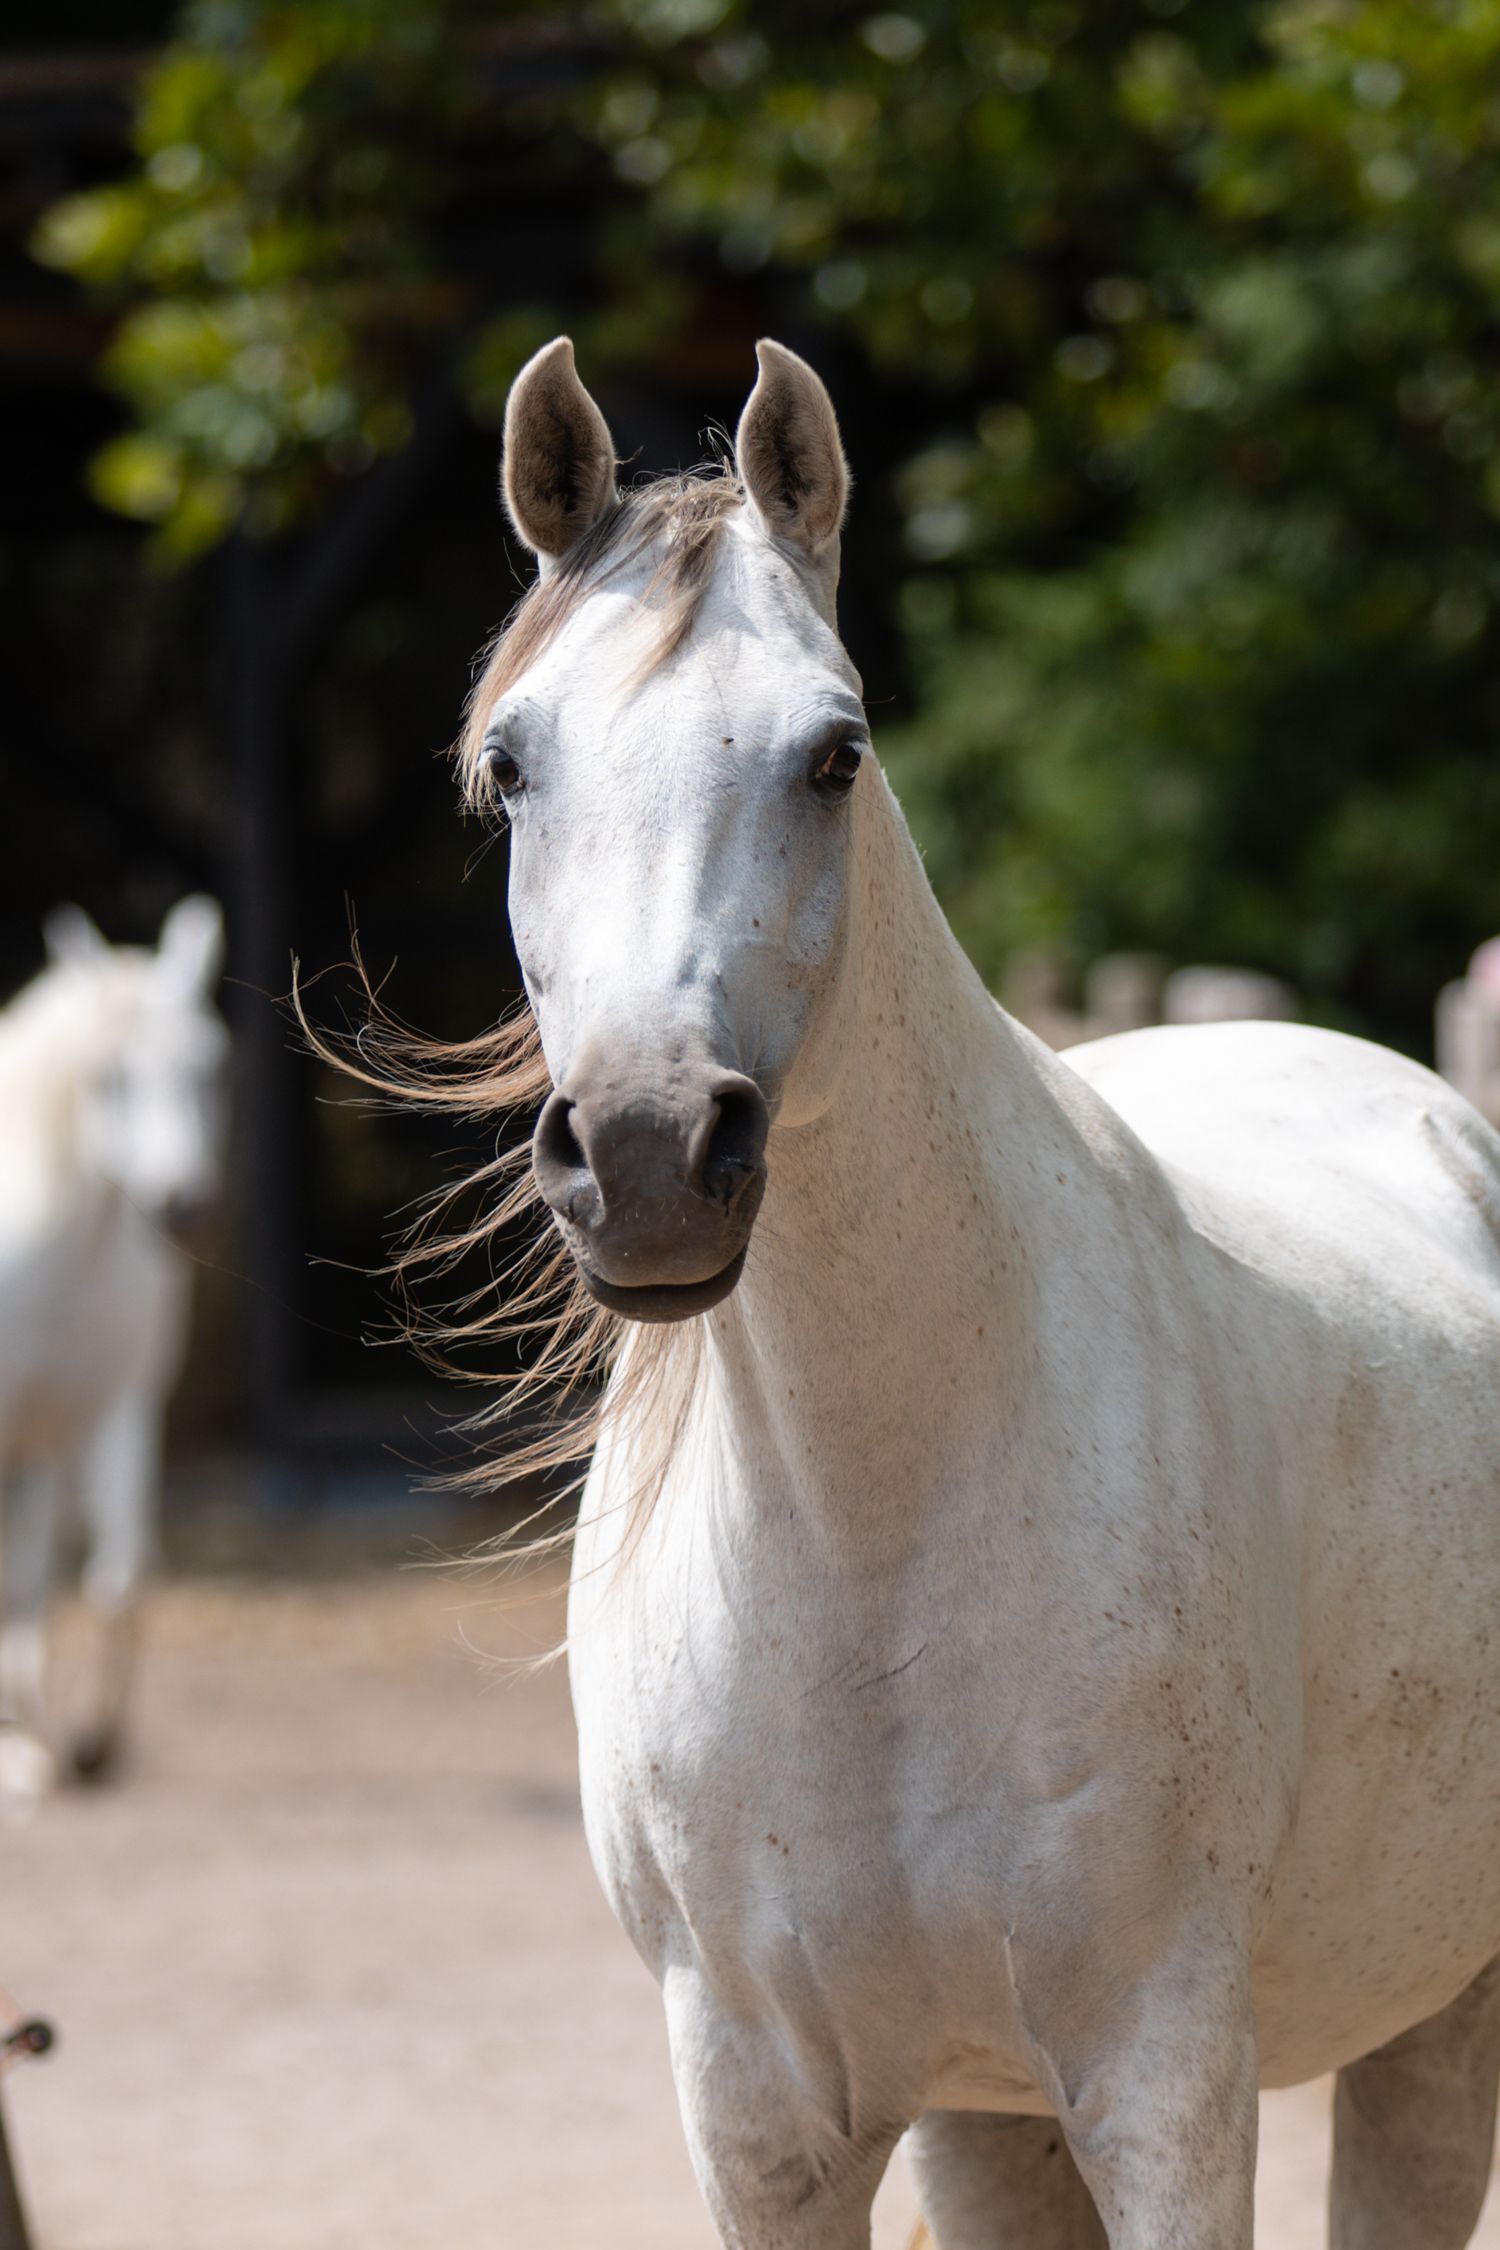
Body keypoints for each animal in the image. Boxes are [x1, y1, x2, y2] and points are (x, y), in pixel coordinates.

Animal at [0, 896, 227, 1801]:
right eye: (110, 1078)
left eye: (210, 1068)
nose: (181, 1205)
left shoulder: (115, 1414)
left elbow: (117, 1581)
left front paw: (92, 1744)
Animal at [417, 336, 1500, 2249]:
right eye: (515, 762)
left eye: (833, 754)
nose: (645, 1150)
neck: (875, 1536)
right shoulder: (773, 2121)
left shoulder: (1164, 2084)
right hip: (1013, 2119)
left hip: (1439, 2023)